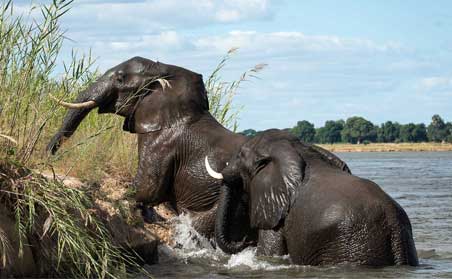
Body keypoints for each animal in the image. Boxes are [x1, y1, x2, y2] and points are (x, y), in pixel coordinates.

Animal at [207, 130, 418, 268]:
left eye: (241, 155)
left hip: (351, 245)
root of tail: (393, 225)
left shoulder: (277, 217)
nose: (245, 240)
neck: (300, 150)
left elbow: (269, 252)